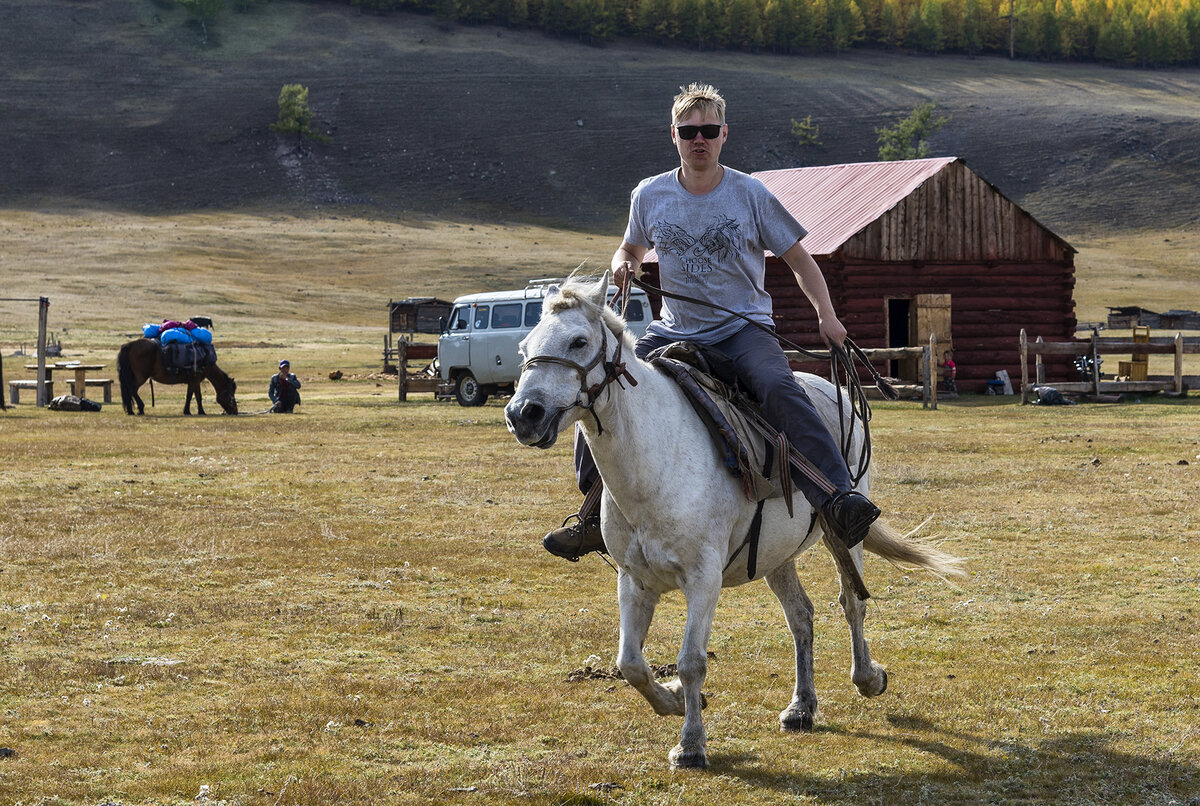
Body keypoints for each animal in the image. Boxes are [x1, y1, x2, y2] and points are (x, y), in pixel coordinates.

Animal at [504, 273, 964, 772]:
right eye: (524, 346)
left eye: (579, 341)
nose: (522, 414)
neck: (657, 460)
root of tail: (834, 390)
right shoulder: (634, 579)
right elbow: (630, 663)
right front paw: (673, 701)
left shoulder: (703, 578)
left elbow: (691, 661)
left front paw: (690, 745)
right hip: (776, 554)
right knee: (801, 616)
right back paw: (801, 706)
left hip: (844, 534)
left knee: (851, 602)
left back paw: (868, 677)